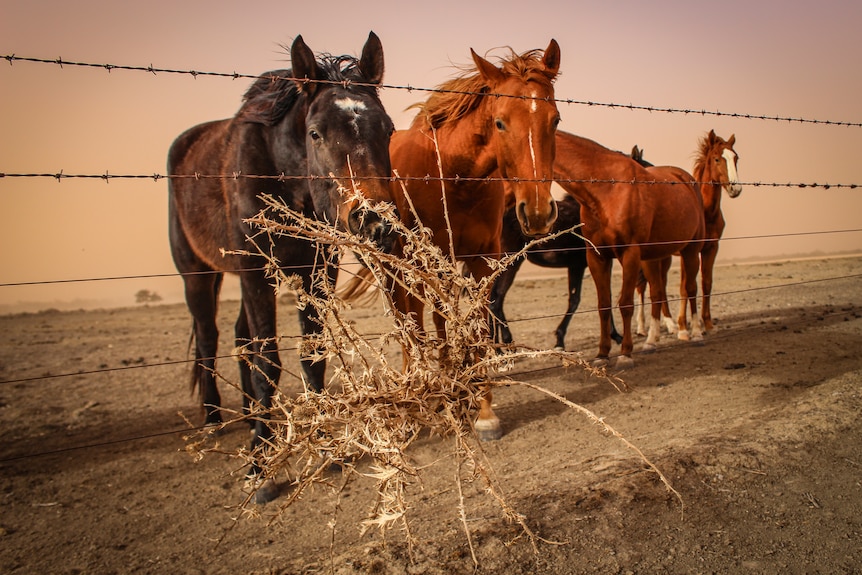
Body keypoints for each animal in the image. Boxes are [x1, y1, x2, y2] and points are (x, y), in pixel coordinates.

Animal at [167, 31, 396, 502]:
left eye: (388, 130)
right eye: (315, 132)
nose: (376, 222)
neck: (283, 175)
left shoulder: (318, 271)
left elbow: (311, 358)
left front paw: (324, 446)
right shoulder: (257, 273)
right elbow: (268, 364)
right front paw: (260, 465)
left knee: (239, 338)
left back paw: (253, 416)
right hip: (197, 275)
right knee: (209, 337)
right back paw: (216, 420)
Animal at [394, 40, 568, 440]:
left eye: (555, 120)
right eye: (500, 122)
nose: (538, 213)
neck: (452, 175)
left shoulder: (480, 261)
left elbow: (476, 327)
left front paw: (483, 408)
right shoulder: (429, 260)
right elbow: (429, 325)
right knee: (408, 321)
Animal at [552, 130, 708, 366]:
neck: (605, 191)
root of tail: (686, 179)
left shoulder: (630, 254)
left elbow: (625, 304)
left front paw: (625, 353)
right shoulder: (597, 258)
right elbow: (604, 305)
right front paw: (602, 354)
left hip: (691, 251)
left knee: (690, 289)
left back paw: (696, 333)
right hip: (653, 258)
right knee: (657, 292)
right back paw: (651, 341)